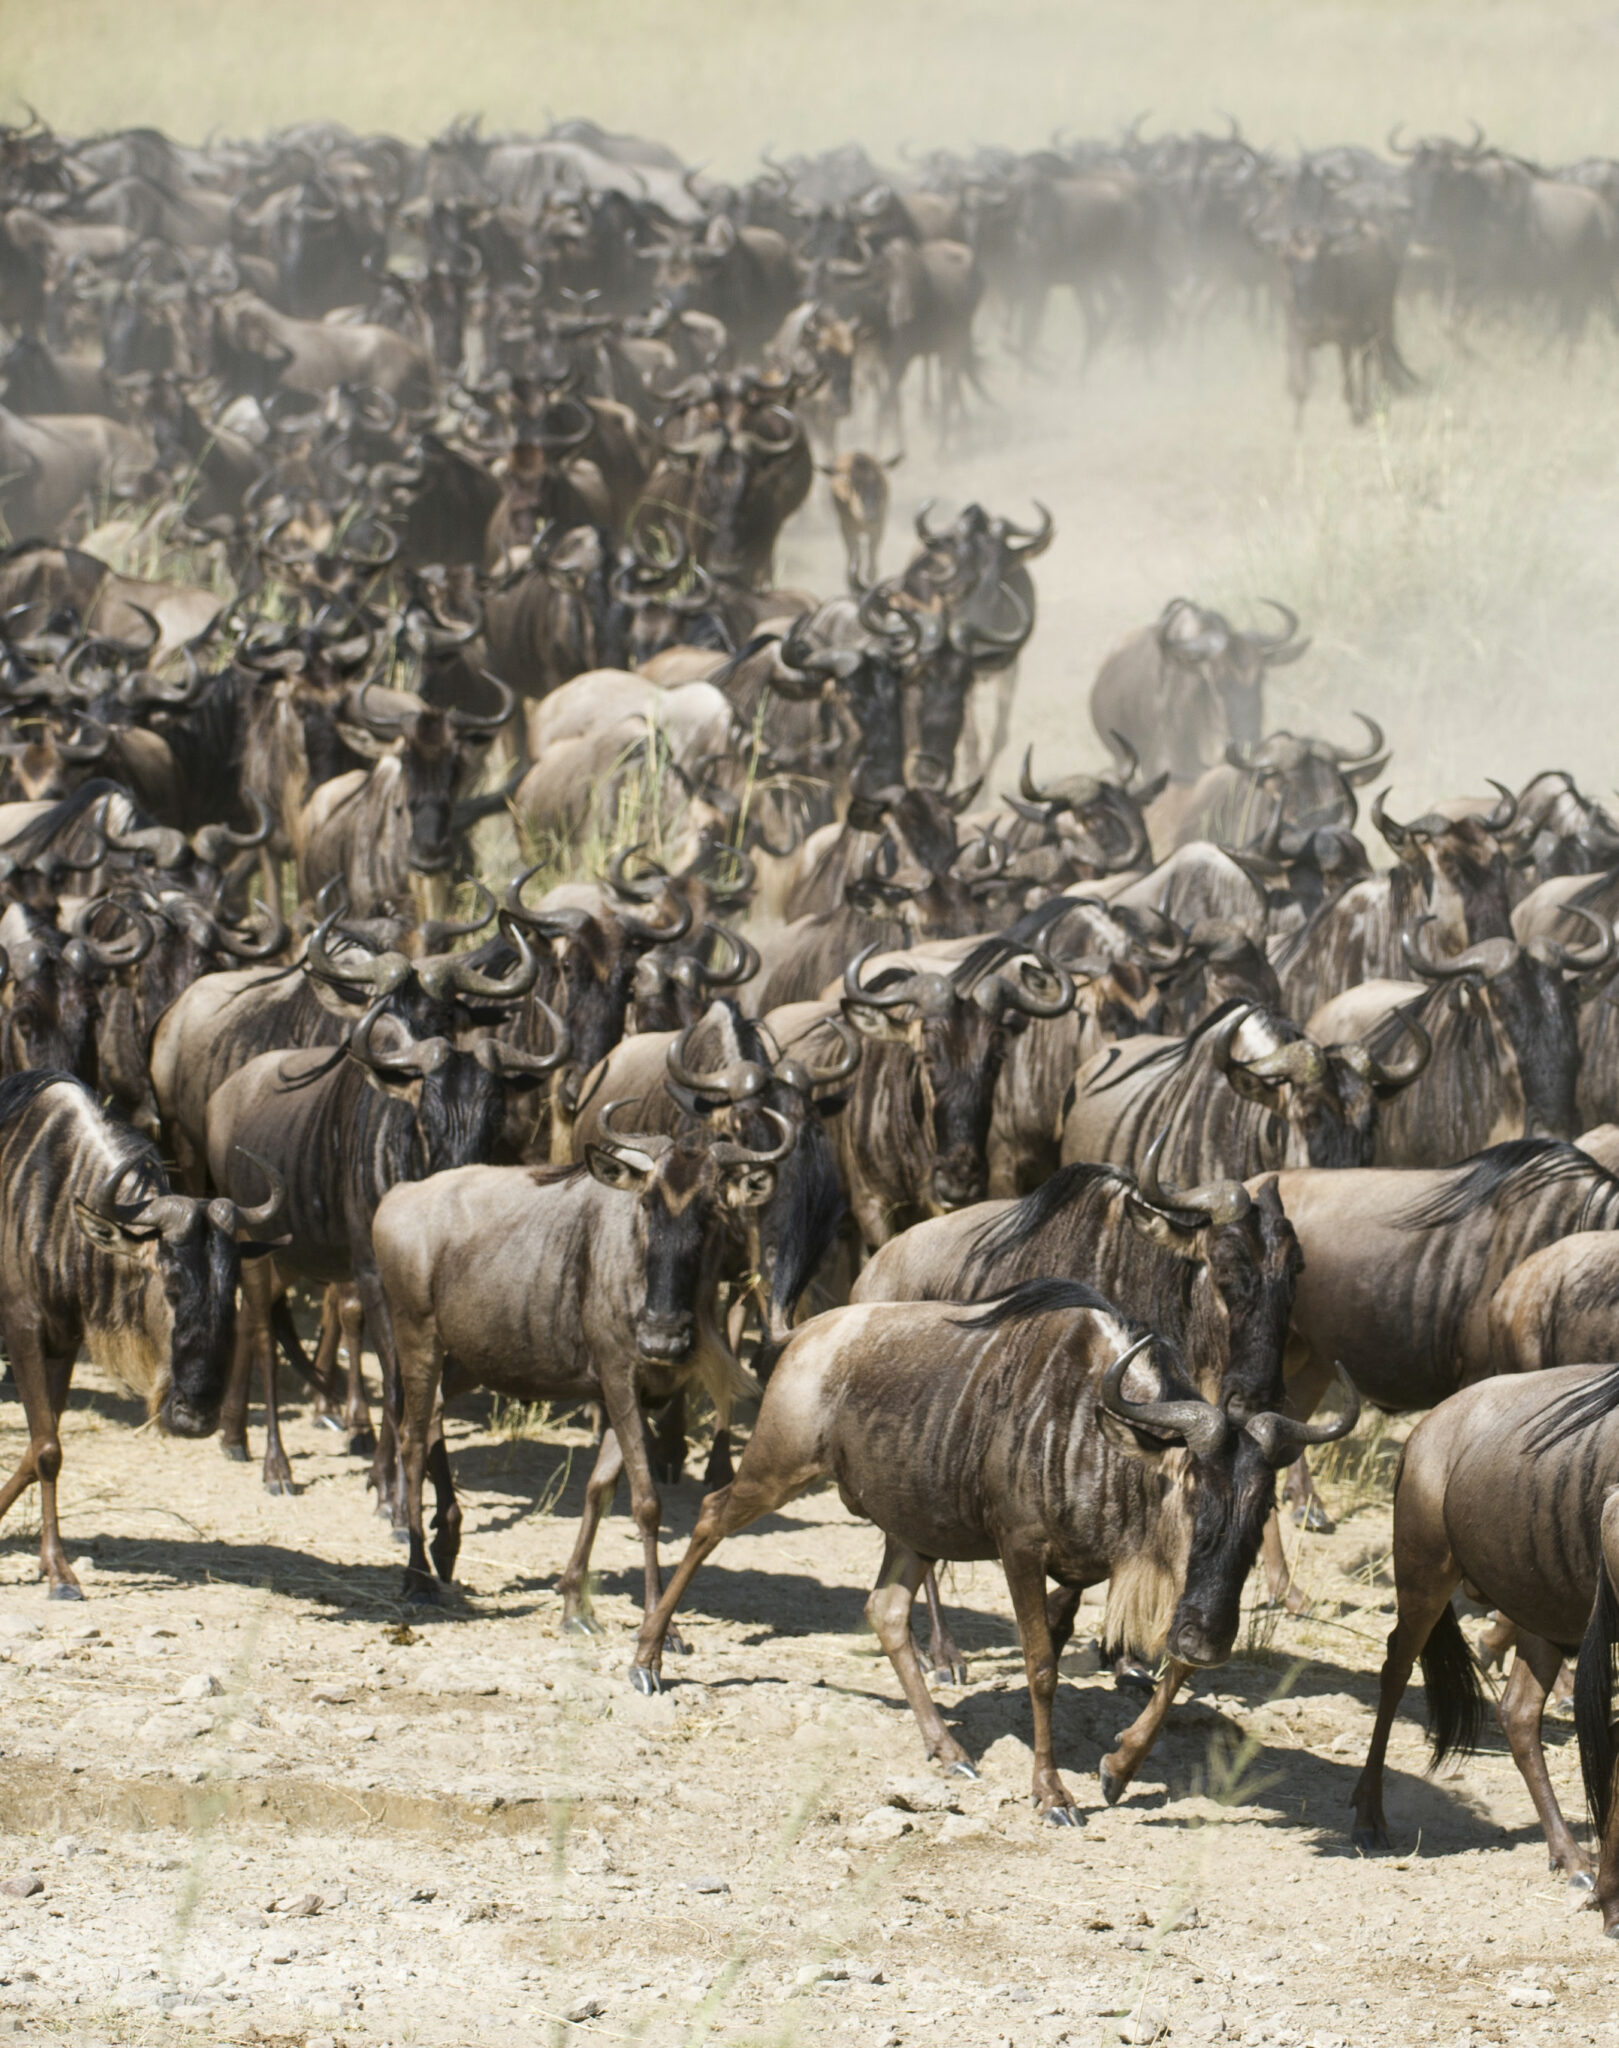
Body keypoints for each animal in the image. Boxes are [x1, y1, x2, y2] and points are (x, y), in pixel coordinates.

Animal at [0, 1069, 280, 1596]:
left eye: (229, 1289)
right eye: (170, 1285)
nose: (196, 1419)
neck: (56, 1200)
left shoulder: (62, 1343)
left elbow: (36, 1448)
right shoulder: (23, 1331)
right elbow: (46, 1450)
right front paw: (60, 1572)